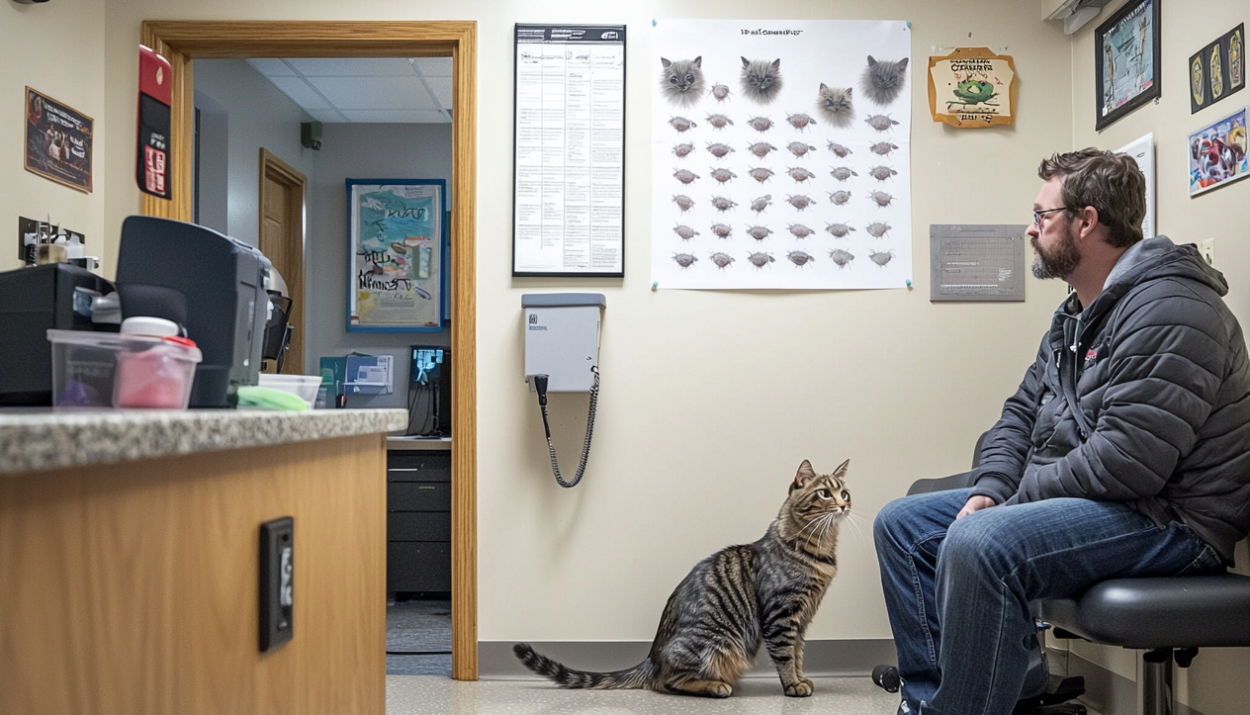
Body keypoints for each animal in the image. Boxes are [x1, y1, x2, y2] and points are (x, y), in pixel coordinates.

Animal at [512, 457, 855, 700]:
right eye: (825, 493)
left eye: (845, 492)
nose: (843, 504)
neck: (819, 550)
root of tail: (651, 657)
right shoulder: (782, 616)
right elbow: (785, 656)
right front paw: (793, 685)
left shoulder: (802, 620)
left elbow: (798, 654)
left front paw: (800, 678)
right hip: (720, 641)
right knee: (666, 682)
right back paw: (715, 686)